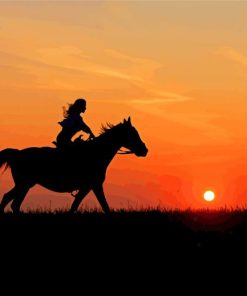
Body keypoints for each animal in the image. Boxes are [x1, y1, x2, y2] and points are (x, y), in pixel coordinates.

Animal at [0, 117, 147, 213]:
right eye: (133, 134)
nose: (144, 150)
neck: (96, 153)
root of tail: (17, 153)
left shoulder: (89, 187)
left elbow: (76, 207)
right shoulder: (93, 185)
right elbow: (102, 206)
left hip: (25, 185)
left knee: (11, 202)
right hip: (24, 184)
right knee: (11, 201)